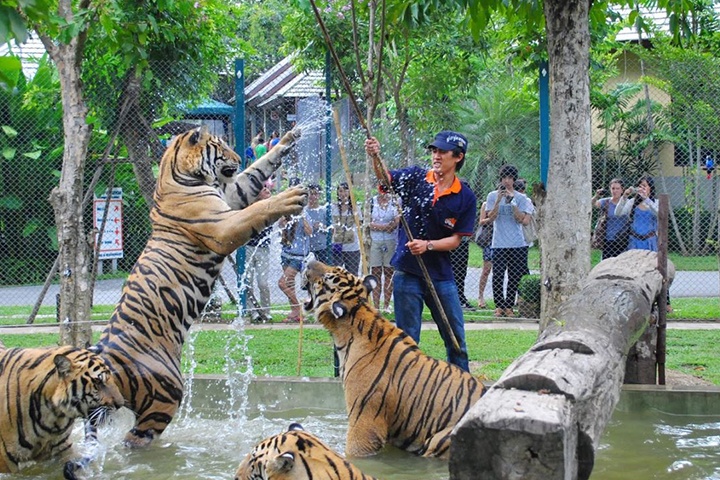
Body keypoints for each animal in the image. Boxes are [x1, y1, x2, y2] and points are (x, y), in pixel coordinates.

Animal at [90, 126, 307, 448]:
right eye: (222, 147)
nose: (238, 157)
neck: (176, 174)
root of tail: (106, 361)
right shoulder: (225, 225)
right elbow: (258, 208)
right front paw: (289, 197)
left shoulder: (231, 194)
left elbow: (256, 172)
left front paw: (289, 138)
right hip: (165, 395)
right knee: (135, 439)